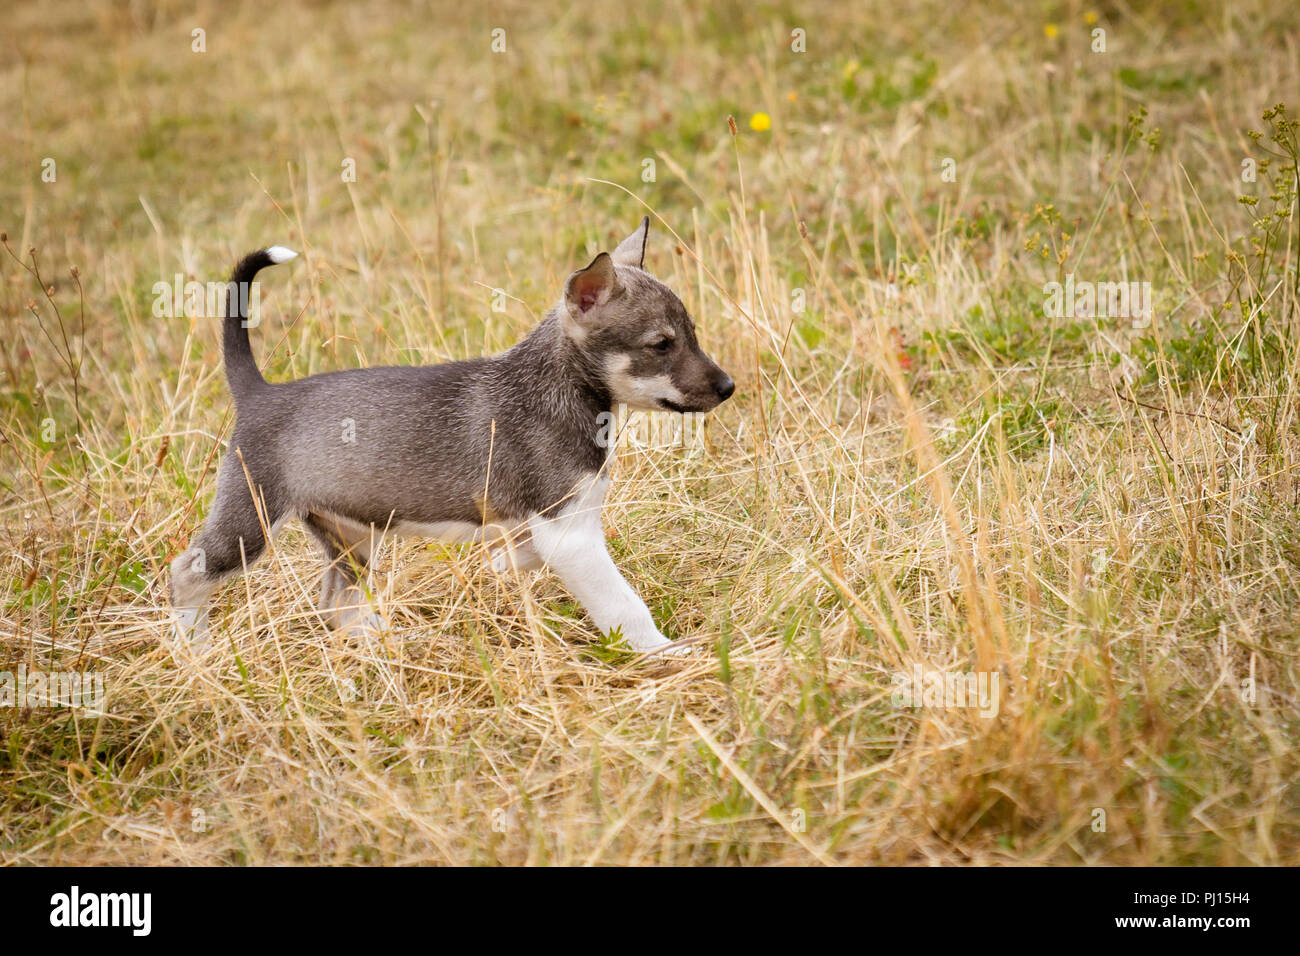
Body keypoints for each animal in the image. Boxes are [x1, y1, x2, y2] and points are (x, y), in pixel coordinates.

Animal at [170, 217, 733, 655]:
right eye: (661, 345)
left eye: (692, 335)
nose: (728, 387)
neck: (556, 386)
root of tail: (258, 392)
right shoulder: (570, 536)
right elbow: (624, 605)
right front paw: (664, 654)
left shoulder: (555, 527)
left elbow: (516, 555)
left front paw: (503, 563)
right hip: (249, 525)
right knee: (186, 575)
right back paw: (194, 652)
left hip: (351, 538)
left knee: (335, 603)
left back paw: (380, 644)